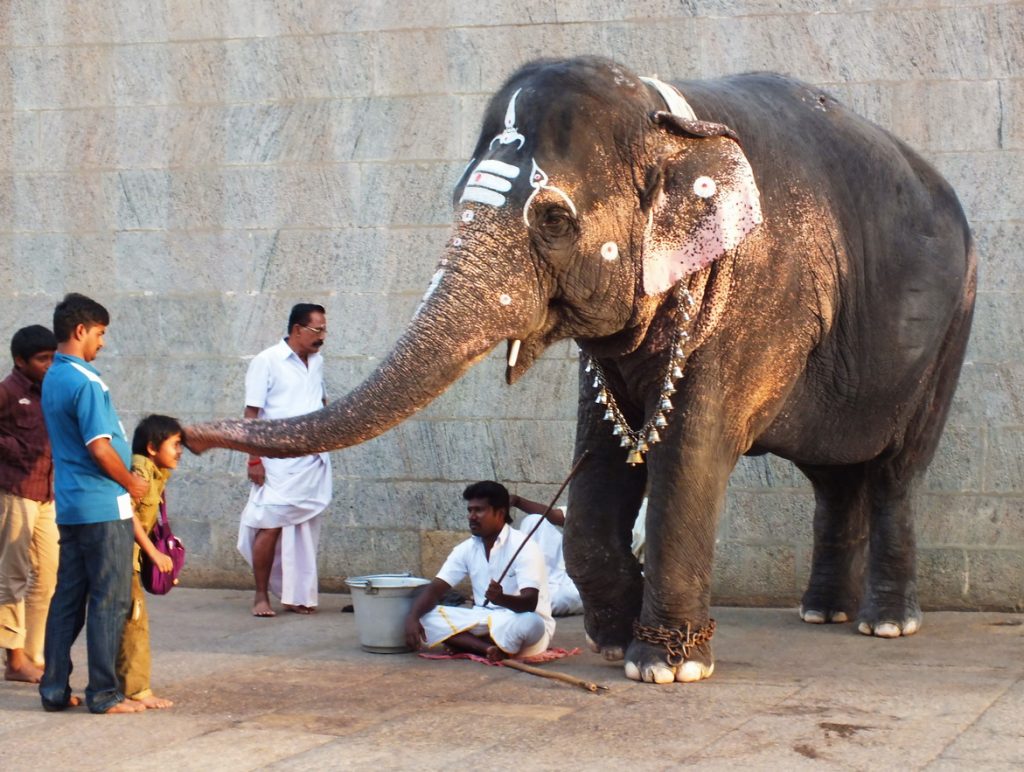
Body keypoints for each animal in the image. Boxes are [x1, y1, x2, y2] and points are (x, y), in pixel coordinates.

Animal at [184, 52, 974, 679]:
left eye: (553, 219)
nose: (180, 434)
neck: (667, 116)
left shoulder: (760, 297)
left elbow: (690, 453)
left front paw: (666, 667)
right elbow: (598, 461)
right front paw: (615, 643)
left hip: (954, 323)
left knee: (895, 472)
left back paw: (884, 624)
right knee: (832, 476)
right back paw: (821, 615)